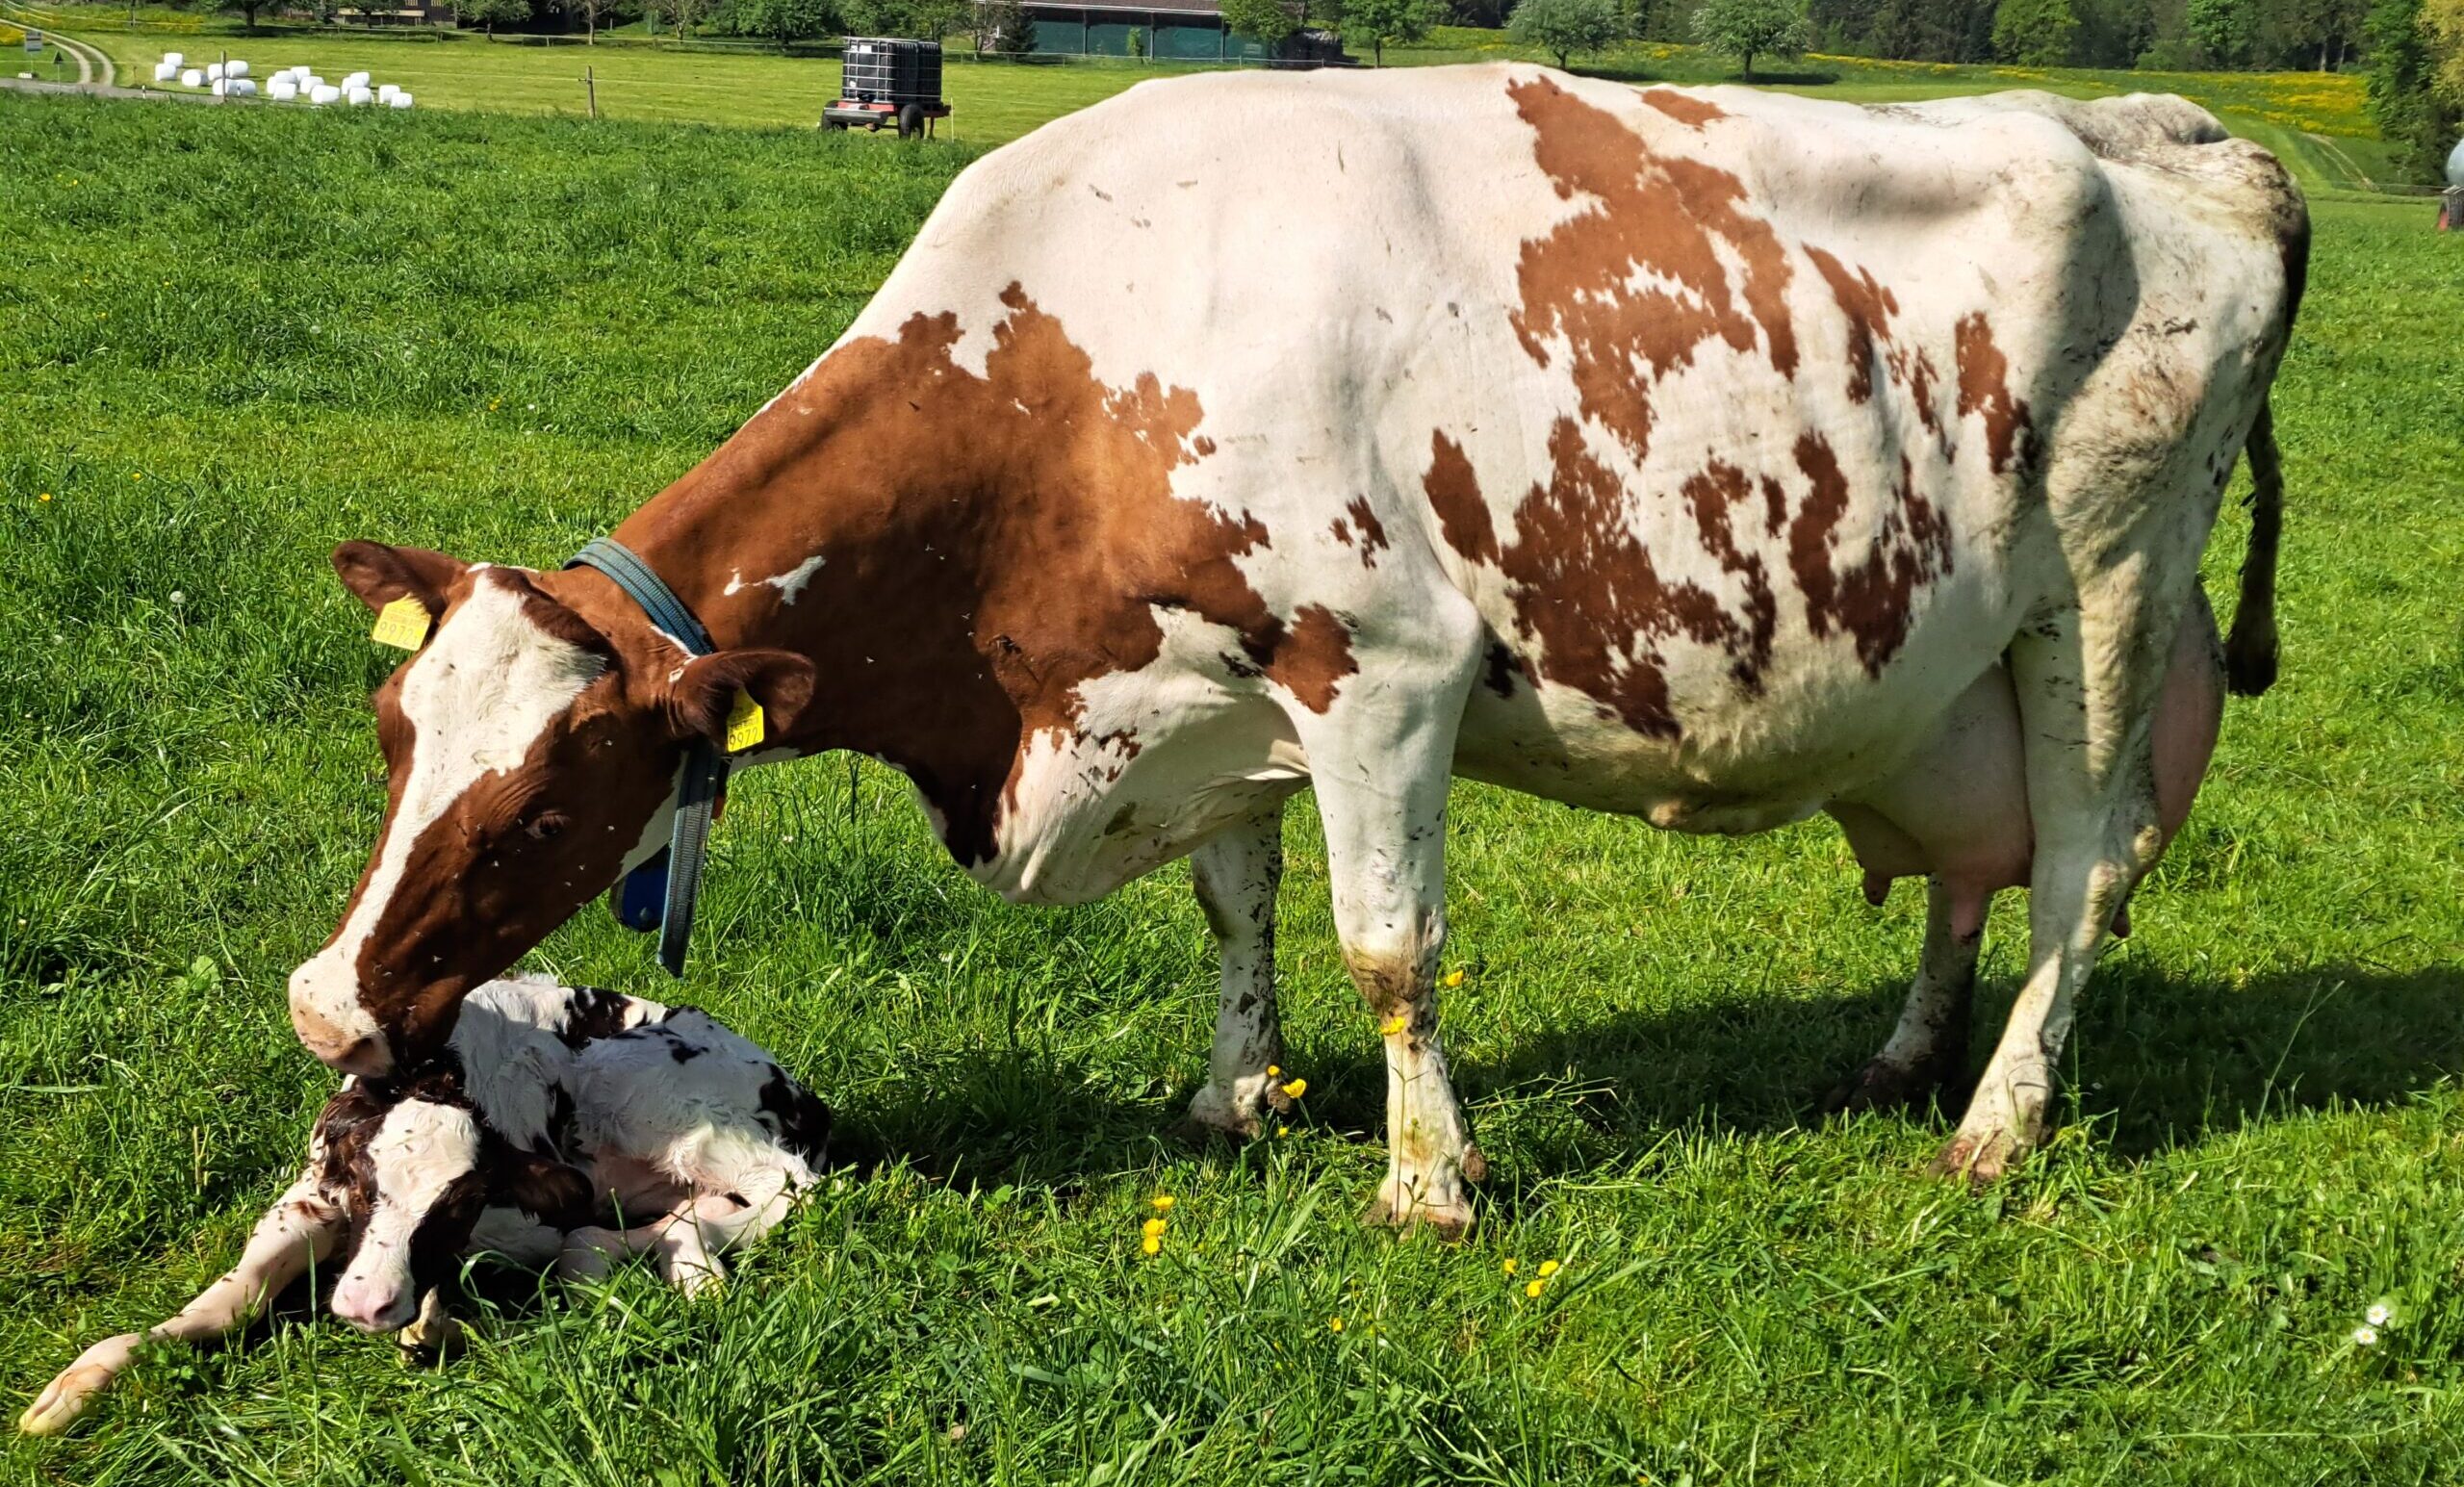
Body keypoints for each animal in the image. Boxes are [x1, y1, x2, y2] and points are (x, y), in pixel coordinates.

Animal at [20, 976, 830, 1437]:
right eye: (364, 1179)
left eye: (461, 1198)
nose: (364, 1305)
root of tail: (798, 1091)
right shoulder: (310, 1193)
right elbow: (236, 1294)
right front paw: (86, 1379)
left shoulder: (530, 1219)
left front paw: (433, 1320)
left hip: (643, 1086)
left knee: (788, 1187)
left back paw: (686, 1268)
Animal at [283, 65, 2305, 1237]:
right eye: (391, 731)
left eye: (547, 807)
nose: (322, 1006)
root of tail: (2177, 132)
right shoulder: (1212, 686)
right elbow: (1237, 913)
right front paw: (1232, 1096)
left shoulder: (1380, 671)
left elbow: (1386, 947)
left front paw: (1429, 1186)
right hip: (1964, 669)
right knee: (1978, 869)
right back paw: (1902, 1055)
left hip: (2106, 593)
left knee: (2081, 872)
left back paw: (1998, 1124)